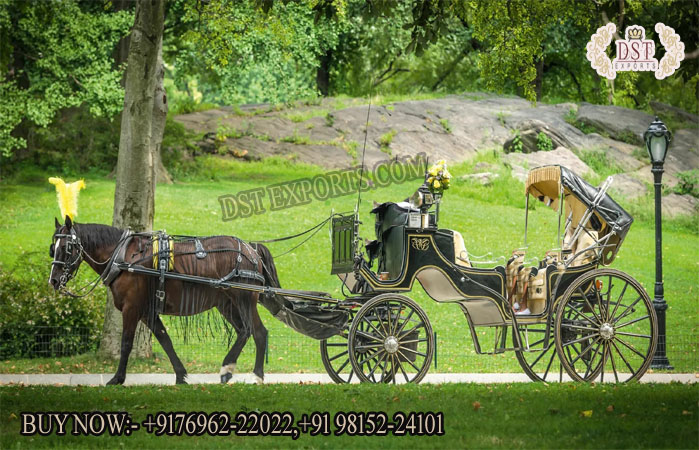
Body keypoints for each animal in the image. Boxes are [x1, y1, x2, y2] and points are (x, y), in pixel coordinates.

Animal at [47, 216, 274, 384]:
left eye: (67, 248)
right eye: (52, 247)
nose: (54, 280)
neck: (123, 257)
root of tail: (251, 249)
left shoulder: (132, 308)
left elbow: (126, 343)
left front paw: (118, 378)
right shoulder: (147, 311)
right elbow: (165, 340)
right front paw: (181, 375)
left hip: (243, 299)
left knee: (255, 331)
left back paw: (248, 373)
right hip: (226, 304)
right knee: (248, 331)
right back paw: (236, 370)